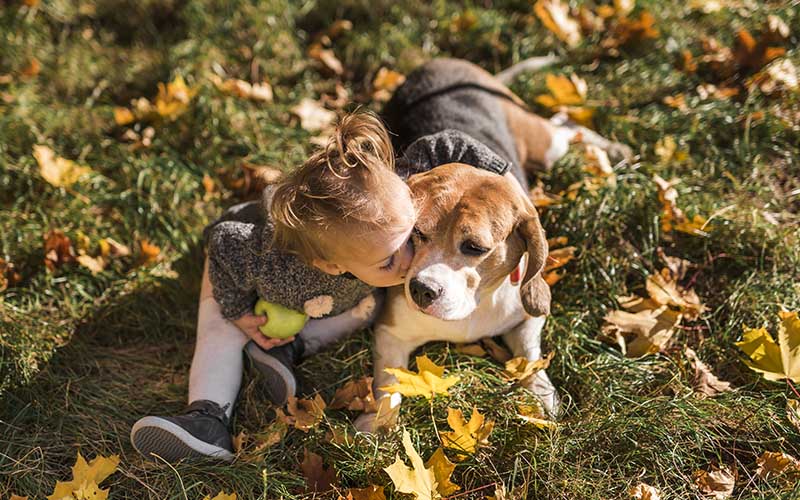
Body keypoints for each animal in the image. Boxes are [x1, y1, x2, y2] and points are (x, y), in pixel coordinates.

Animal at [354, 58, 628, 432]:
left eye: (474, 247)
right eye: (417, 233)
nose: (422, 290)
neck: (473, 308)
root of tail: (443, 62)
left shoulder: (526, 316)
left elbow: (529, 356)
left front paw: (541, 394)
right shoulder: (390, 333)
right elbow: (389, 382)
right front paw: (380, 422)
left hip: (545, 145)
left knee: (568, 125)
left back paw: (611, 150)